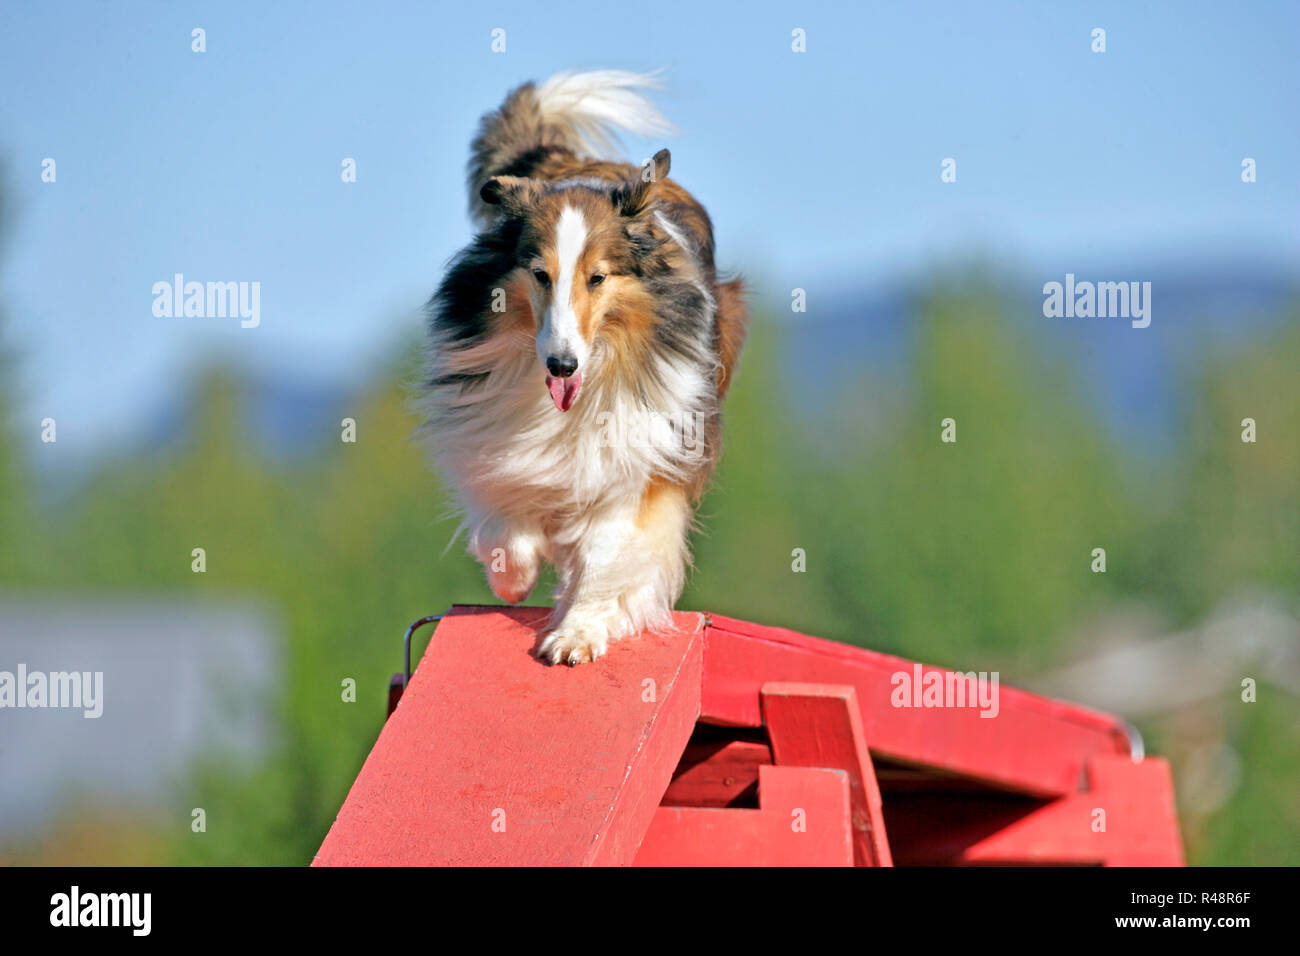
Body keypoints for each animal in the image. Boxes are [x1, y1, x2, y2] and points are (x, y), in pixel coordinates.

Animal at [423, 70, 748, 665]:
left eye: (597, 278)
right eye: (539, 274)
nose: (561, 363)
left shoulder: (641, 454)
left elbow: (607, 552)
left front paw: (576, 633)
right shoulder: (495, 438)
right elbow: (509, 528)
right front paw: (517, 575)